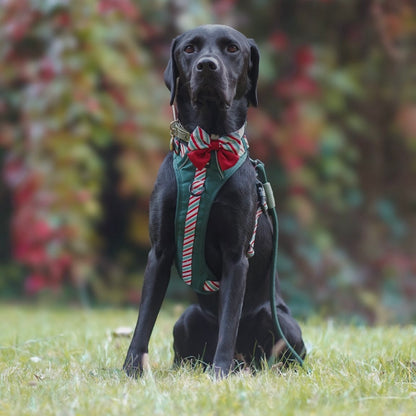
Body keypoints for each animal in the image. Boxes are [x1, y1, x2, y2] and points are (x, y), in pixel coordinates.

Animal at [123, 25, 306, 376]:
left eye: (232, 48)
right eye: (189, 48)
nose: (207, 66)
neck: (207, 149)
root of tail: (246, 361)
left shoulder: (236, 256)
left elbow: (229, 322)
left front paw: (219, 373)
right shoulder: (159, 252)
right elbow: (144, 320)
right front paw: (131, 369)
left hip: (282, 324)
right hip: (186, 318)